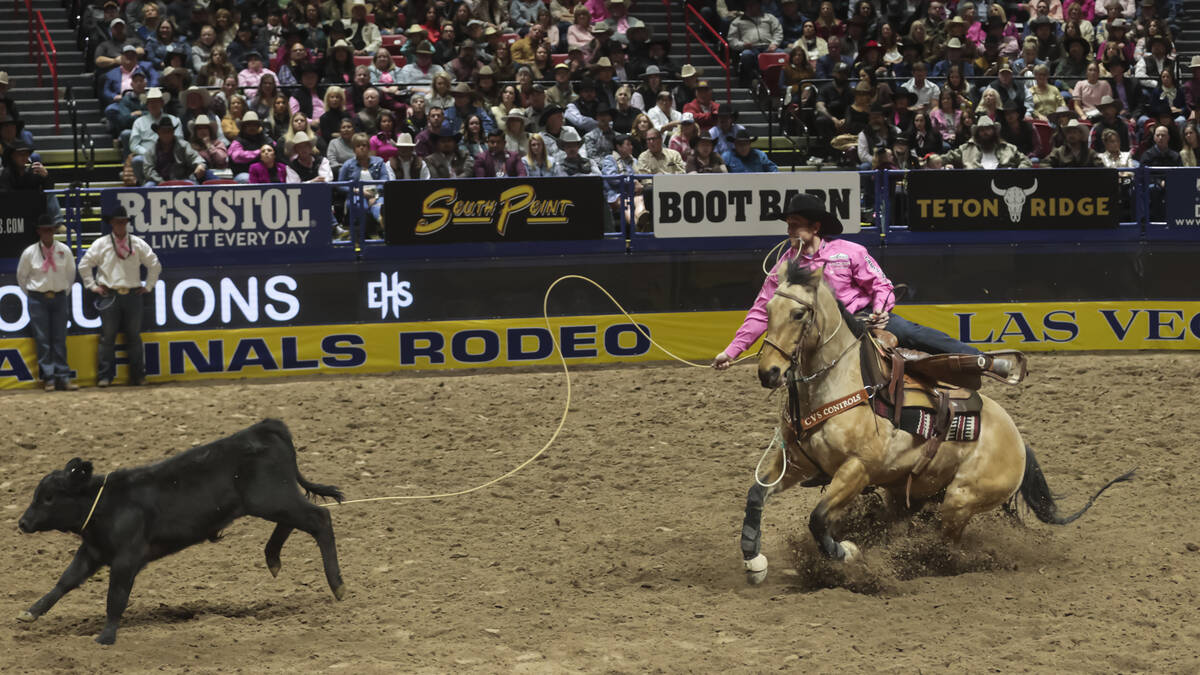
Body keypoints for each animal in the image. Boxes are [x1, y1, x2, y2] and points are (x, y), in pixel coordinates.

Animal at [739, 263, 1132, 583]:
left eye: (799, 313)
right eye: (767, 309)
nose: (768, 372)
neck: (842, 385)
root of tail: (1019, 442)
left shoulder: (857, 470)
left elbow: (818, 519)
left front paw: (846, 552)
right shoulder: (796, 461)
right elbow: (757, 494)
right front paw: (754, 559)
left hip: (959, 500)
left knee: (948, 549)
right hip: (907, 492)